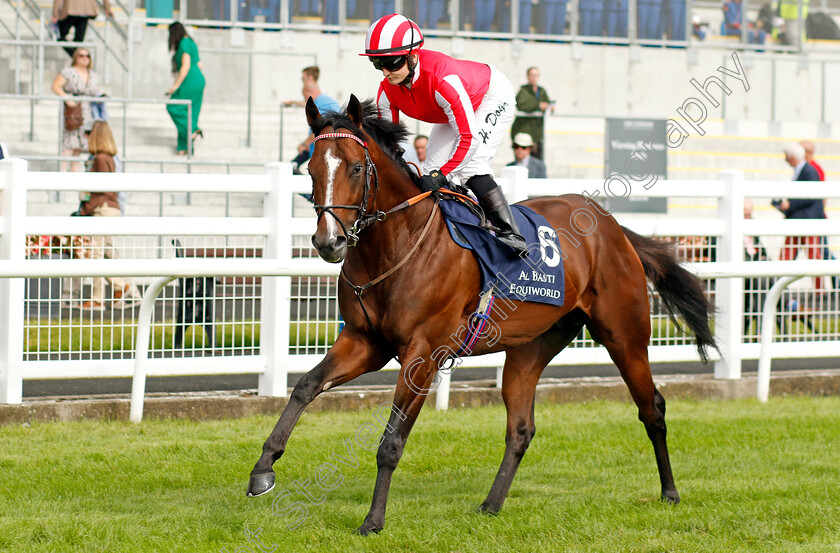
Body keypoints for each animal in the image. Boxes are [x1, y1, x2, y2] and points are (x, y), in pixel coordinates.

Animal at [248, 95, 716, 536]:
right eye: (311, 170)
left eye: (357, 168)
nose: (329, 242)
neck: (397, 246)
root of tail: (612, 226)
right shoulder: (365, 342)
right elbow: (305, 387)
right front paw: (262, 470)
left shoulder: (423, 353)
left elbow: (391, 441)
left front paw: (373, 520)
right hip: (531, 348)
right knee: (521, 428)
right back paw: (492, 503)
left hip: (624, 334)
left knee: (652, 409)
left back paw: (670, 492)